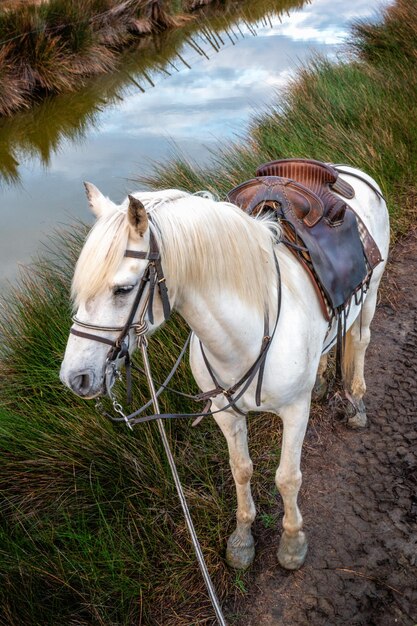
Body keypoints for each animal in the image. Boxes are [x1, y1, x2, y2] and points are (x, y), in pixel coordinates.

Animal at [60, 167, 388, 572]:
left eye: (123, 289)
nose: (75, 377)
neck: (243, 336)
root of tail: (347, 171)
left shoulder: (295, 411)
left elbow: (287, 478)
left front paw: (292, 542)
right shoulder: (224, 412)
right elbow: (241, 469)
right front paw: (243, 537)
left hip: (371, 294)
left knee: (360, 341)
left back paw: (356, 404)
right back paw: (323, 381)